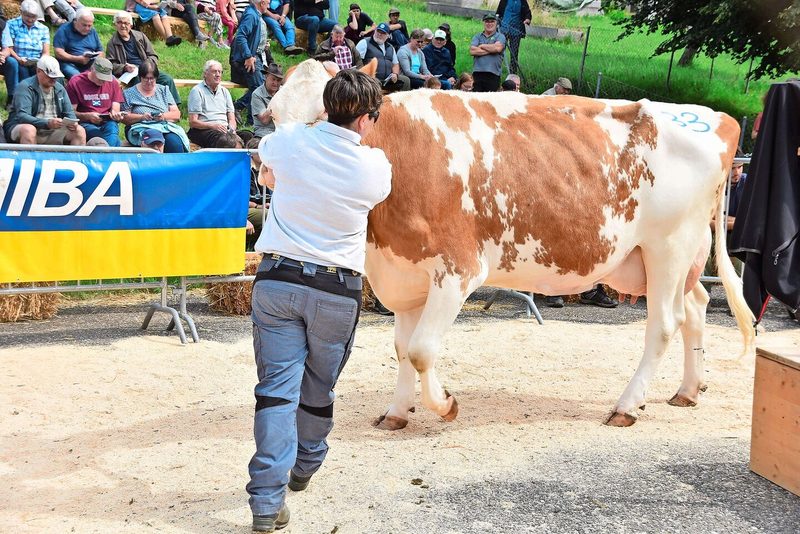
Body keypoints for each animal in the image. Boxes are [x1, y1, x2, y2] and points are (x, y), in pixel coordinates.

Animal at [266, 59, 755, 428]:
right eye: (272, 113)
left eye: (321, 117)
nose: (270, 167)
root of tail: (718, 117)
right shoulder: (404, 270)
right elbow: (403, 349)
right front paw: (397, 412)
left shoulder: (457, 269)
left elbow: (422, 350)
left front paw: (445, 404)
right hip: (665, 258)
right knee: (694, 307)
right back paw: (688, 390)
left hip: (668, 247)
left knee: (665, 323)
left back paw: (627, 406)